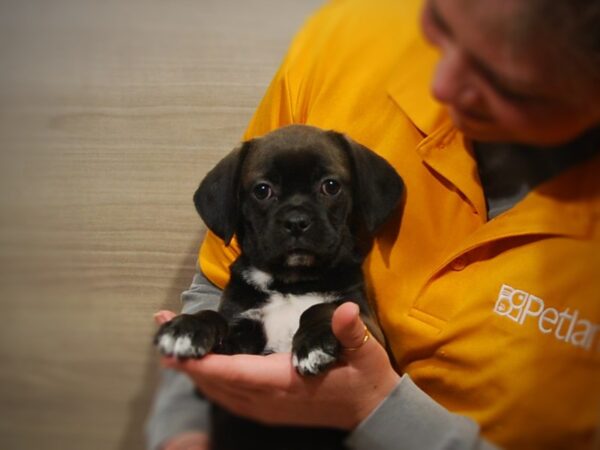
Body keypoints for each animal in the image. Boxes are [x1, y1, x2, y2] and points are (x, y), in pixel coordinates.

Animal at [155, 124, 404, 450]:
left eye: (331, 186)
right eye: (262, 190)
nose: (296, 221)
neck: (292, 283)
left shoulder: (369, 328)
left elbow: (322, 306)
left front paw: (313, 343)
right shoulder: (238, 341)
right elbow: (214, 316)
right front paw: (187, 327)